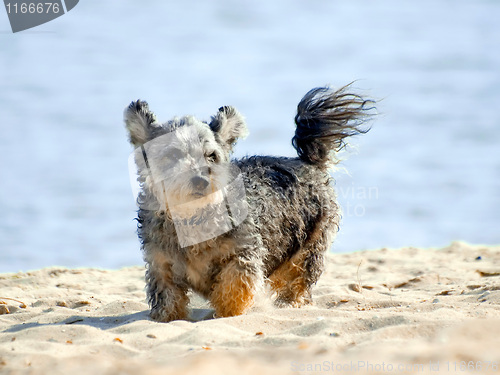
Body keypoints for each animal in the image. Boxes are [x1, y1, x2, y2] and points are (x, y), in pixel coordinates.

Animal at [124, 84, 376, 324]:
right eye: (172, 156)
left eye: (211, 156)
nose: (201, 180)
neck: (193, 219)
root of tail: (306, 162)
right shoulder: (161, 266)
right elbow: (168, 301)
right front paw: (167, 317)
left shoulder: (243, 257)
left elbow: (233, 288)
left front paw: (226, 312)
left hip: (308, 249)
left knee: (298, 283)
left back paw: (290, 303)